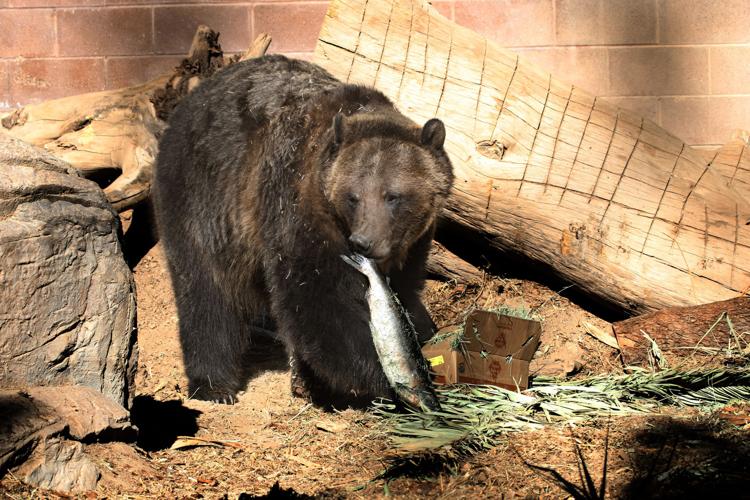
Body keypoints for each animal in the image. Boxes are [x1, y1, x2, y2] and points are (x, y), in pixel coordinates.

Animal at [153, 55, 454, 405]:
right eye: (353, 196)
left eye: (393, 196)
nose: (363, 242)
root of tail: (188, 101)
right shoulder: (298, 204)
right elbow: (321, 302)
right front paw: (381, 375)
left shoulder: (413, 242)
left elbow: (404, 290)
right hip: (203, 195)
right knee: (206, 290)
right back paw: (214, 386)